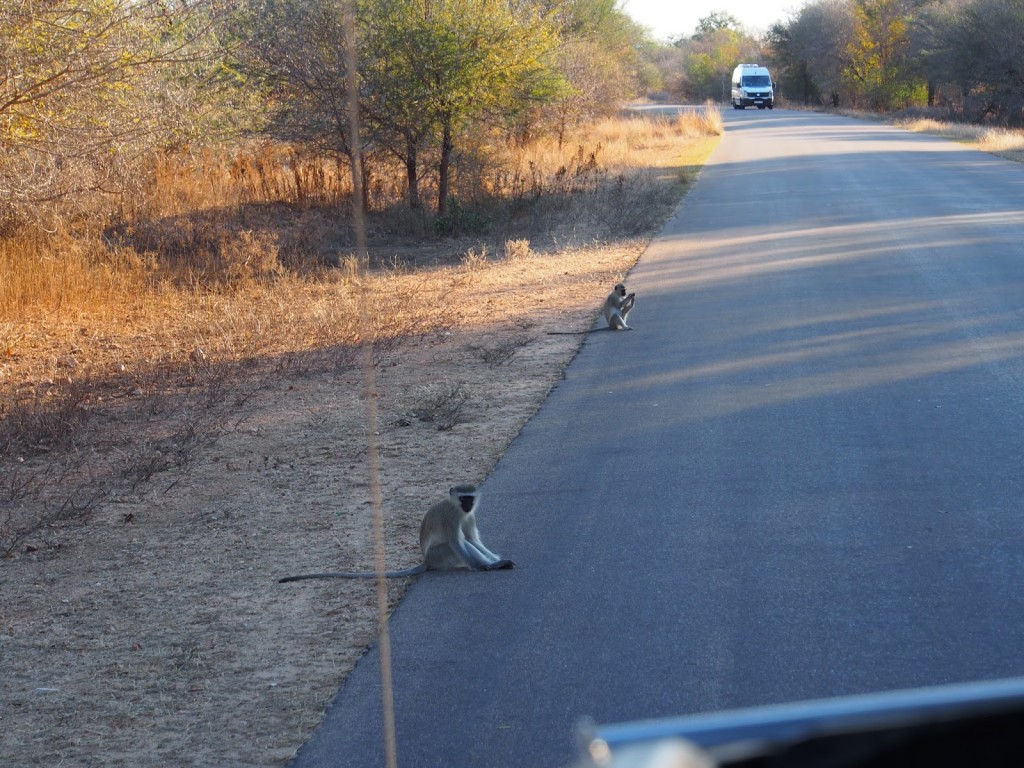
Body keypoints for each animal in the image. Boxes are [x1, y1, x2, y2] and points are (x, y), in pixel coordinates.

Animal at [278, 483, 512, 585]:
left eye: (470, 498)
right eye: (463, 498)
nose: (468, 505)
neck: (457, 509)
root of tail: (427, 562)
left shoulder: (469, 517)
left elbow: (472, 539)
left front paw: (494, 558)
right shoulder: (451, 518)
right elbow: (458, 543)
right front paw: (486, 566)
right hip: (439, 556)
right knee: (451, 547)